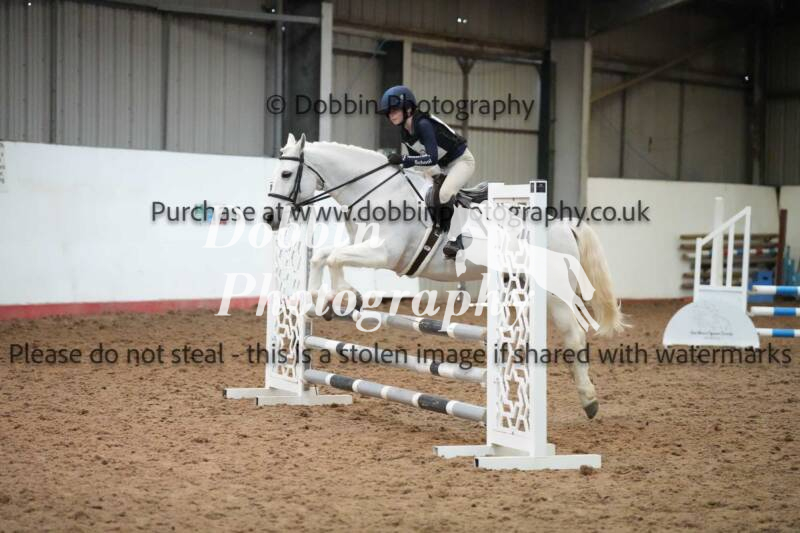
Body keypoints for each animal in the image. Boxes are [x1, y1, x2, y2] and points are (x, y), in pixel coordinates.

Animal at [265, 133, 626, 418]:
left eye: (286, 173)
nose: (270, 217)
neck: (376, 191)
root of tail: (563, 223)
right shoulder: (364, 246)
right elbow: (325, 255)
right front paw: (327, 299)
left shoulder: (384, 253)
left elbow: (333, 257)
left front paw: (338, 295)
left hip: (553, 291)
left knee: (574, 336)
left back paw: (588, 402)